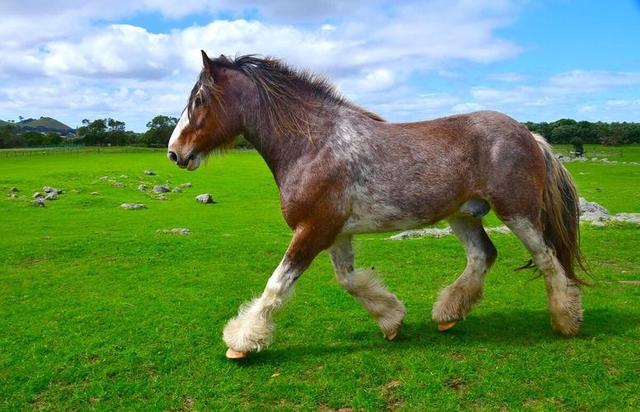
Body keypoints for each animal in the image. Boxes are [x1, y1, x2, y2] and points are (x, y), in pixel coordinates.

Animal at [168, 51, 588, 358]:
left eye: (200, 99)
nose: (175, 152)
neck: (313, 144)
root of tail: (530, 134)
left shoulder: (312, 230)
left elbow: (277, 285)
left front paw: (241, 342)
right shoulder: (333, 232)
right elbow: (349, 280)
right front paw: (392, 320)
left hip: (517, 212)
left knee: (547, 259)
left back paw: (566, 321)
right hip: (463, 215)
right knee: (482, 255)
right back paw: (448, 314)